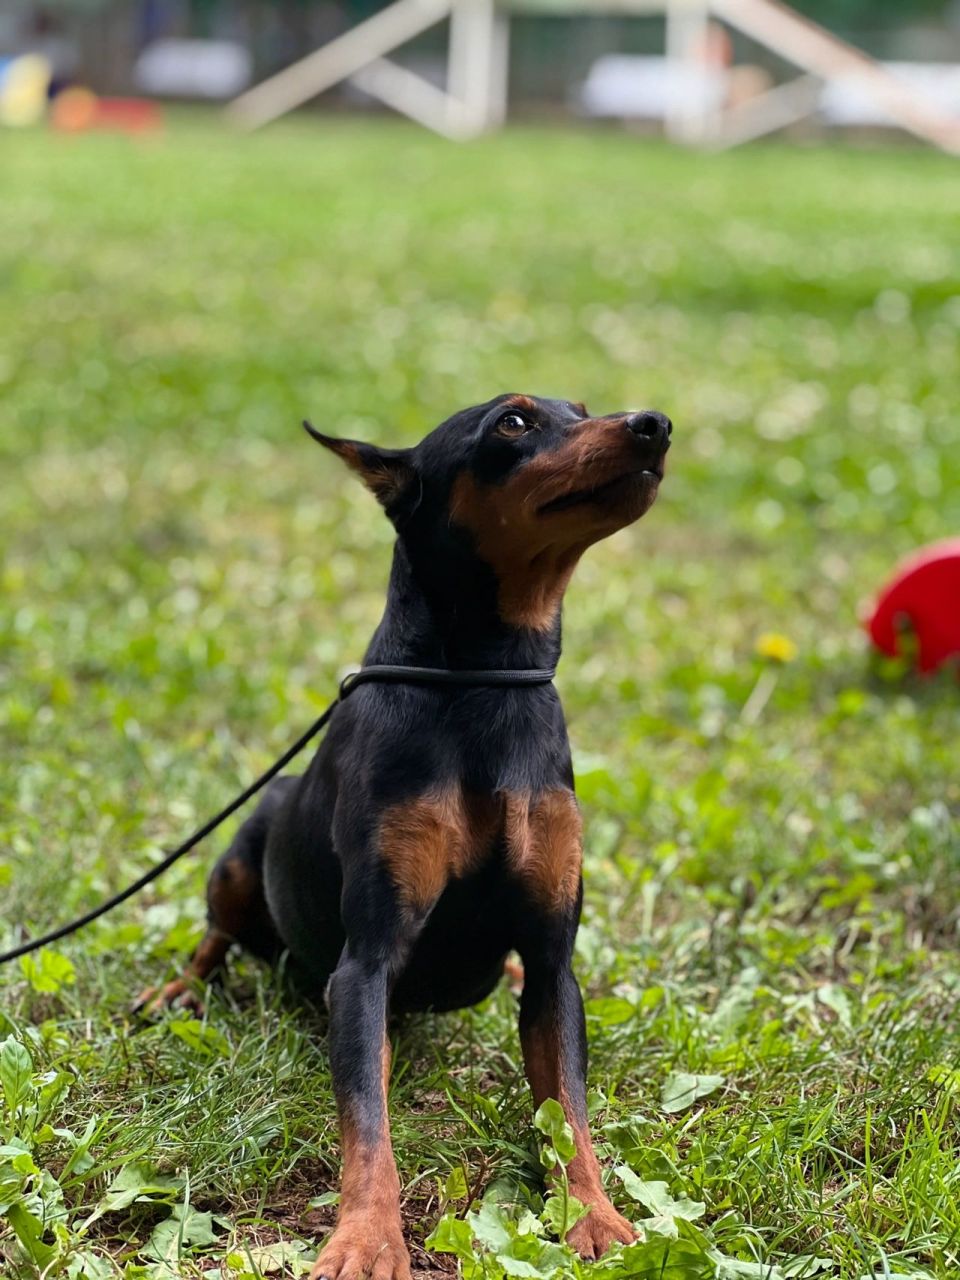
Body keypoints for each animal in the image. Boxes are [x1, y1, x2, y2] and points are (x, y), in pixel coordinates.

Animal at [138, 391, 670, 1280]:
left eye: (584, 408)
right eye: (514, 422)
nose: (654, 424)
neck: (488, 679)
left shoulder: (555, 960)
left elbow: (567, 1112)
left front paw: (595, 1216)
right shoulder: (365, 966)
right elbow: (367, 1126)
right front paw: (366, 1238)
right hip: (243, 850)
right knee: (217, 931)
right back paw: (177, 989)